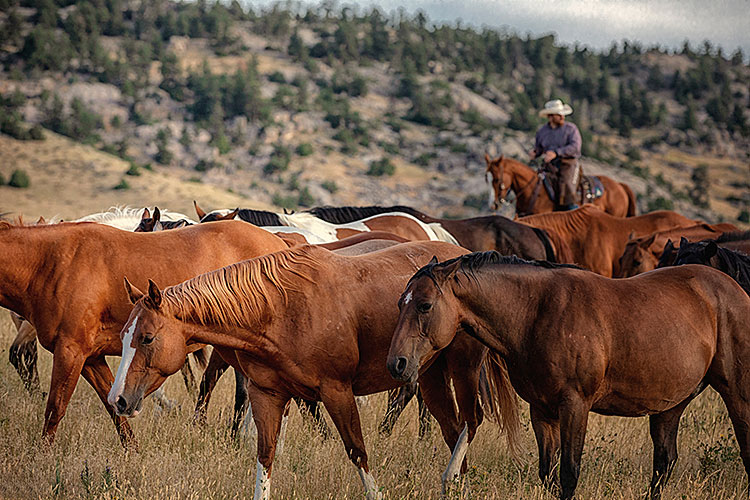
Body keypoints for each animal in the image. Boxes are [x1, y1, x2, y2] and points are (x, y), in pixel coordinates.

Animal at [0, 219, 289, 446]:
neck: (53, 262)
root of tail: (280, 242)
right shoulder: (91, 359)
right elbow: (113, 405)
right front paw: (132, 452)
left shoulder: (70, 352)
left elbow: (55, 408)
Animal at [108, 242, 519, 500]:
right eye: (124, 335)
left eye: (146, 338)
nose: (118, 400)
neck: (279, 309)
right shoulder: (268, 396)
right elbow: (265, 458)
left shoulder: (337, 392)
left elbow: (357, 452)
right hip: (430, 377)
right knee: (453, 430)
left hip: (463, 369)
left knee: (471, 421)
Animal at [387, 251, 750, 500]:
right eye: (400, 303)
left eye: (424, 305)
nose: (397, 364)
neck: (537, 312)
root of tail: (734, 289)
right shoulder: (542, 411)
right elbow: (548, 474)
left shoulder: (574, 406)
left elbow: (569, 474)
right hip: (669, 407)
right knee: (664, 464)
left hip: (737, 396)